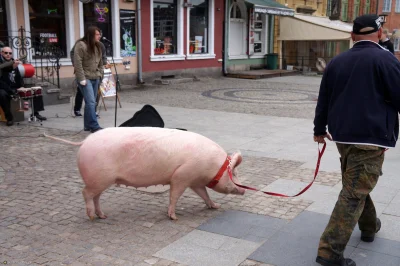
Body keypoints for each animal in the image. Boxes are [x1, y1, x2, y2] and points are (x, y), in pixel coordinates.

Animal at [43, 127, 244, 220]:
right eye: (234, 173)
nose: (243, 190)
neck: (213, 166)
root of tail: (84, 142)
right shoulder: (181, 176)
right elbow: (174, 195)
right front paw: (174, 217)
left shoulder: (194, 181)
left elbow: (204, 194)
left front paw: (215, 206)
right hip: (98, 178)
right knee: (85, 193)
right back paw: (92, 216)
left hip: (101, 180)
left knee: (95, 197)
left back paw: (103, 216)